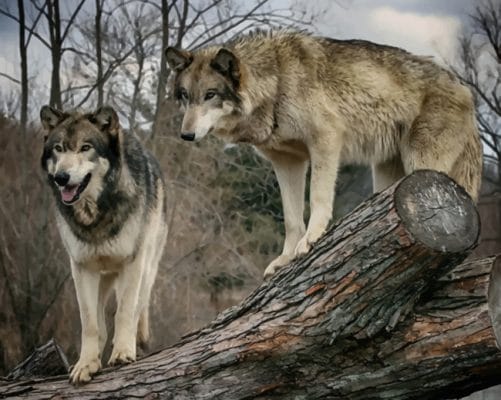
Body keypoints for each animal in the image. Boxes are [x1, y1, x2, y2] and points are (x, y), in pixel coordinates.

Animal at [39, 105, 168, 384]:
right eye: (58, 148)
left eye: (86, 147)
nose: (61, 177)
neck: (95, 215)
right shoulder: (81, 268)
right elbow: (90, 323)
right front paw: (86, 363)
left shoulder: (132, 263)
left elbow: (124, 312)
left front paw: (122, 353)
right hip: (102, 277)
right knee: (99, 320)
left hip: (146, 270)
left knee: (136, 307)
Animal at [166, 29, 482, 278]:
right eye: (185, 96)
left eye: (210, 95)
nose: (186, 135)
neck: (277, 83)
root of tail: (466, 91)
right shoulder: (287, 161)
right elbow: (291, 218)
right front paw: (285, 259)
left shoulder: (326, 141)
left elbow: (318, 197)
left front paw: (312, 239)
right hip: (387, 181)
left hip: (422, 167)